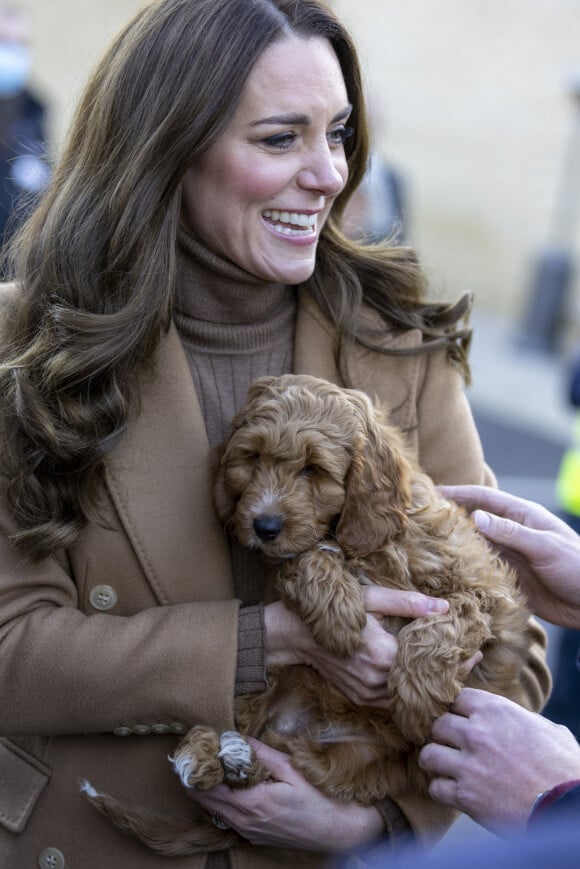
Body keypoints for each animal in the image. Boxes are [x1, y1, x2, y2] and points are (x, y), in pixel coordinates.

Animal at [82, 372, 536, 856]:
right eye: (252, 458)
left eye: (313, 469)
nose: (264, 526)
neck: (357, 540)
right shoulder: (294, 557)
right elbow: (304, 559)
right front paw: (340, 616)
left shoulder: (482, 593)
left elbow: (439, 627)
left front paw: (415, 700)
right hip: (266, 673)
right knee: (245, 721)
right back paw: (206, 752)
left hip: (355, 763)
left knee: (296, 765)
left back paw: (236, 758)